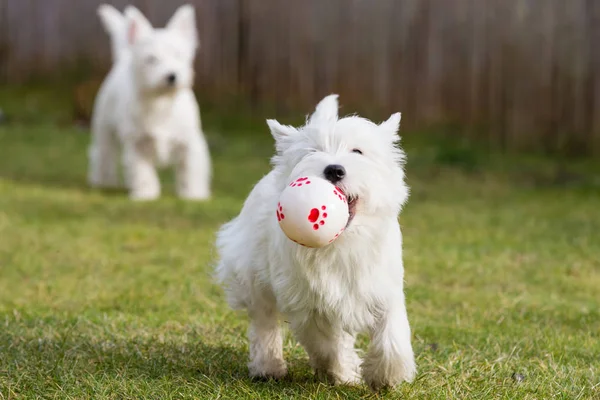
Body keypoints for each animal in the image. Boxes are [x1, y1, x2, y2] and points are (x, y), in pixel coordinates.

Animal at [89, 3, 211, 200]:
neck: (161, 103)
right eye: (151, 59)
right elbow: (142, 171)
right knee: (104, 154)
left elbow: (189, 170)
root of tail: (124, 57)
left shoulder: (190, 142)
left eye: (178, 55)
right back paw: (104, 181)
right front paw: (145, 193)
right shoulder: (137, 144)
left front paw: (193, 194)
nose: (171, 76)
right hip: (104, 129)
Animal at [216, 95, 418, 390]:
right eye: (312, 151)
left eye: (357, 151)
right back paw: (269, 366)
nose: (334, 169)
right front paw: (342, 373)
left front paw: (385, 375)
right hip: (253, 274)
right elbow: (325, 343)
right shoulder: (308, 301)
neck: (341, 244)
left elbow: (392, 333)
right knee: (264, 321)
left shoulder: (381, 286)